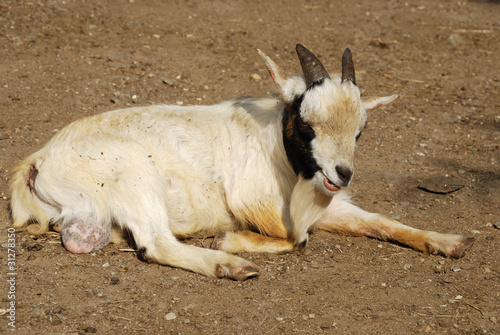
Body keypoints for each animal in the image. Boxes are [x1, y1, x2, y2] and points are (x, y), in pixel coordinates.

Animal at [9, 44, 474, 280]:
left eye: (360, 131)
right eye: (306, 126)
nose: (341, 174)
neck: (276, 147)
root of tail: (39, 159)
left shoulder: (325, 203)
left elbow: (380, 220)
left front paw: (449, 241)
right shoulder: (258, 202)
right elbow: (298, 239)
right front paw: (230, 241)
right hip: (133, 178)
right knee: (155, 243)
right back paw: (230, 265)